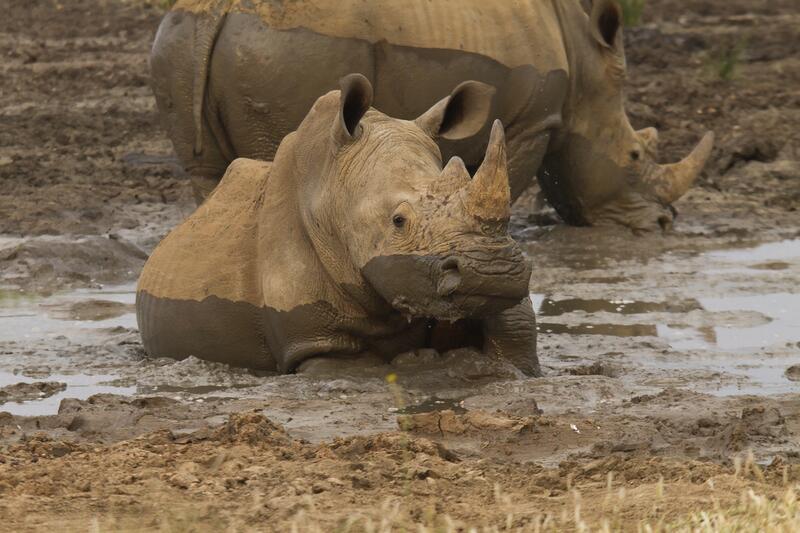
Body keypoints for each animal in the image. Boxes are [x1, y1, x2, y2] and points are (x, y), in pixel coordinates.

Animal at [136, 75, 544, 374]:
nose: (494, 272)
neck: (331, 191)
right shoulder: (314, 342)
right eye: (398, 221)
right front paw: (421, 363)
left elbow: (515, 331)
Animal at [153, 0, 716, 233]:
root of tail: (214, 13)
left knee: (211, 175)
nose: (663, 224)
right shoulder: (531, 122)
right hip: (284, 50)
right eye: (636, 154)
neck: (584, 72)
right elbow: (512, 179)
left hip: (183, 41)